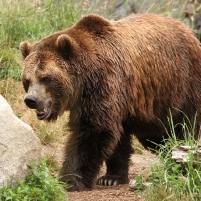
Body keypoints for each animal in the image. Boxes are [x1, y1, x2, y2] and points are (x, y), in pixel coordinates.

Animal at [19, 13, 201, 191]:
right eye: (27, 80)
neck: (84, 79)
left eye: (46, 78)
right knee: (155, 137)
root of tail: (188, 31)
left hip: (180, 85)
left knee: (182, 127)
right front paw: (110, 178)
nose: (31, 100)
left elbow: (94, 130)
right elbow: (115, 137)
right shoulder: (110, 100)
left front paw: (69, 179)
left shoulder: (105, 84)